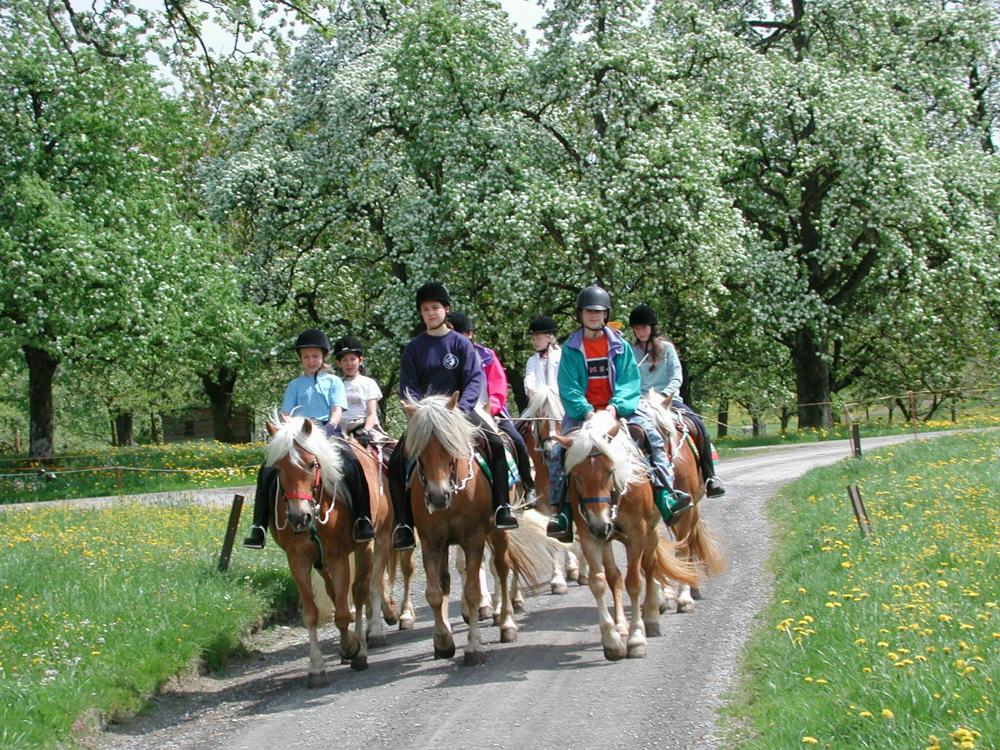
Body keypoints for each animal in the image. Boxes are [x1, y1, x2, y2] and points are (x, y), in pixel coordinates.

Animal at [266, 418, 394, 688]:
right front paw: (316, 668)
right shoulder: (299, 561)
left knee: (365, 590)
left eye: (312, 464)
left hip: (374, 542)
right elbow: (311, 613)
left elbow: (344, 612)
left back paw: (366, 644)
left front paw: (351, 648)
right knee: (340, 592)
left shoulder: (338, 557)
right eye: (278, 469)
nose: (298, 517)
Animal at [400, 394, 548, 664]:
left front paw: (474, 646)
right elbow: (435, 592)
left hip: (498, 531)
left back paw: (506, 622)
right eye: (418, 450)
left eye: (448, 445)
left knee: (501, 568)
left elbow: (472, 591)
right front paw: (443, 641)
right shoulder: (431, 542)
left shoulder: (473, 539)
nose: (438, 496)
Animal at [552, 412, 700, 664]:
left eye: (610, 470)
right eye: (577, 477)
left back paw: (659, 612)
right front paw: (612, 640)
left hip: (660, 526)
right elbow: (599, 582)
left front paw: (636, 638)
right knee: (618, 575)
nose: (600, 523)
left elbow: (634, 582)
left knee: (656, 564)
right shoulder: (590, 536)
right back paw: (624, 624)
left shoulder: (636, 533)